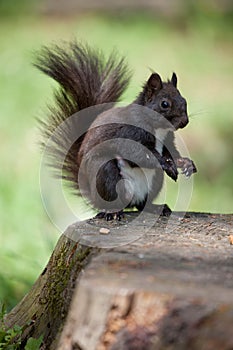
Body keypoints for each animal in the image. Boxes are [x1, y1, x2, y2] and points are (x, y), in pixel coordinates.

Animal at [34, 41, 198, 220]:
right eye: (165, 104)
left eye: (184, 100)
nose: (185, 121)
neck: (159, 129)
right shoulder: (129, 133)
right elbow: (138, 153)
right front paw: (166, 164)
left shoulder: (167, 139)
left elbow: (171, 152)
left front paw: (185, 163)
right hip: (107, 173)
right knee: (114, 200)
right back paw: (112, 212)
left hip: (155, 181)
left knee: (141, 205)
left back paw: (155, 208)